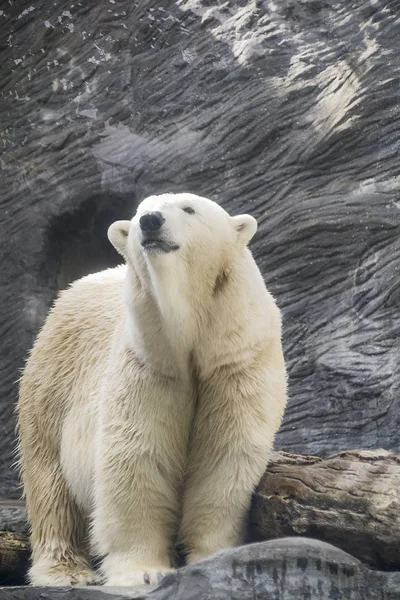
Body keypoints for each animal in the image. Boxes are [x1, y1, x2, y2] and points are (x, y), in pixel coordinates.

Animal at [17, 192, 288, 584]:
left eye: (189, 208)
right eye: (140, 211)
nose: (150, 221)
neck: (189, 333)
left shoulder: (236, 362)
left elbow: (224, 453)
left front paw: (213, 555)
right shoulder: (150, 365)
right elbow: (138, 454)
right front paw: (143, 571)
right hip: (52, 379)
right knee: (50, 481)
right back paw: (67, 571)